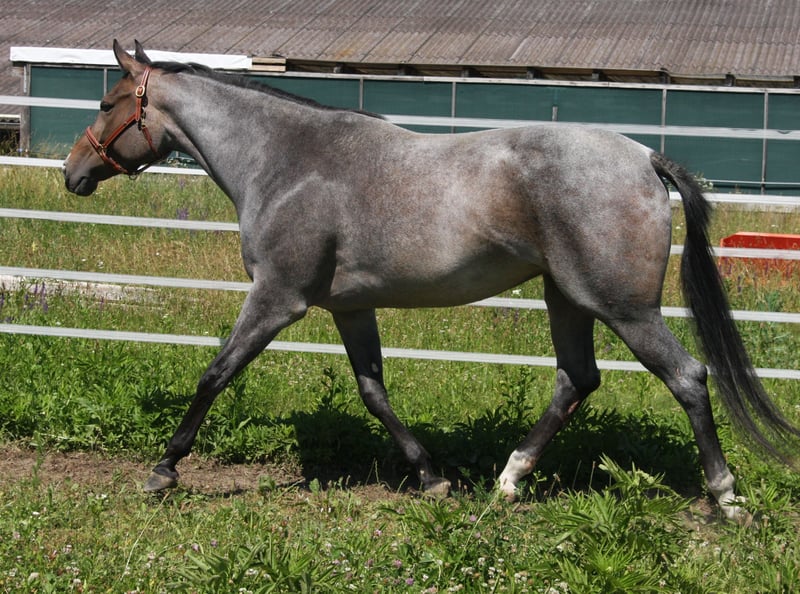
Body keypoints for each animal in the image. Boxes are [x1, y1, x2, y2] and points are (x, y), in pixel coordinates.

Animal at [63, 41, 799, 520]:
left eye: (105, 101)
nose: (73, 173)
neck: (288, 161)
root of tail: (645, 157)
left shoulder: (277, 300)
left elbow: (215, 374)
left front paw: (163, 470)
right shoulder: (349, 309)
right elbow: (374, 393)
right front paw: (431, 478)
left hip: (623, 307)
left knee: (687, 378)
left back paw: (725, 497)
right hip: (566, 297)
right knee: (576, 380)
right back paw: (508, 481)